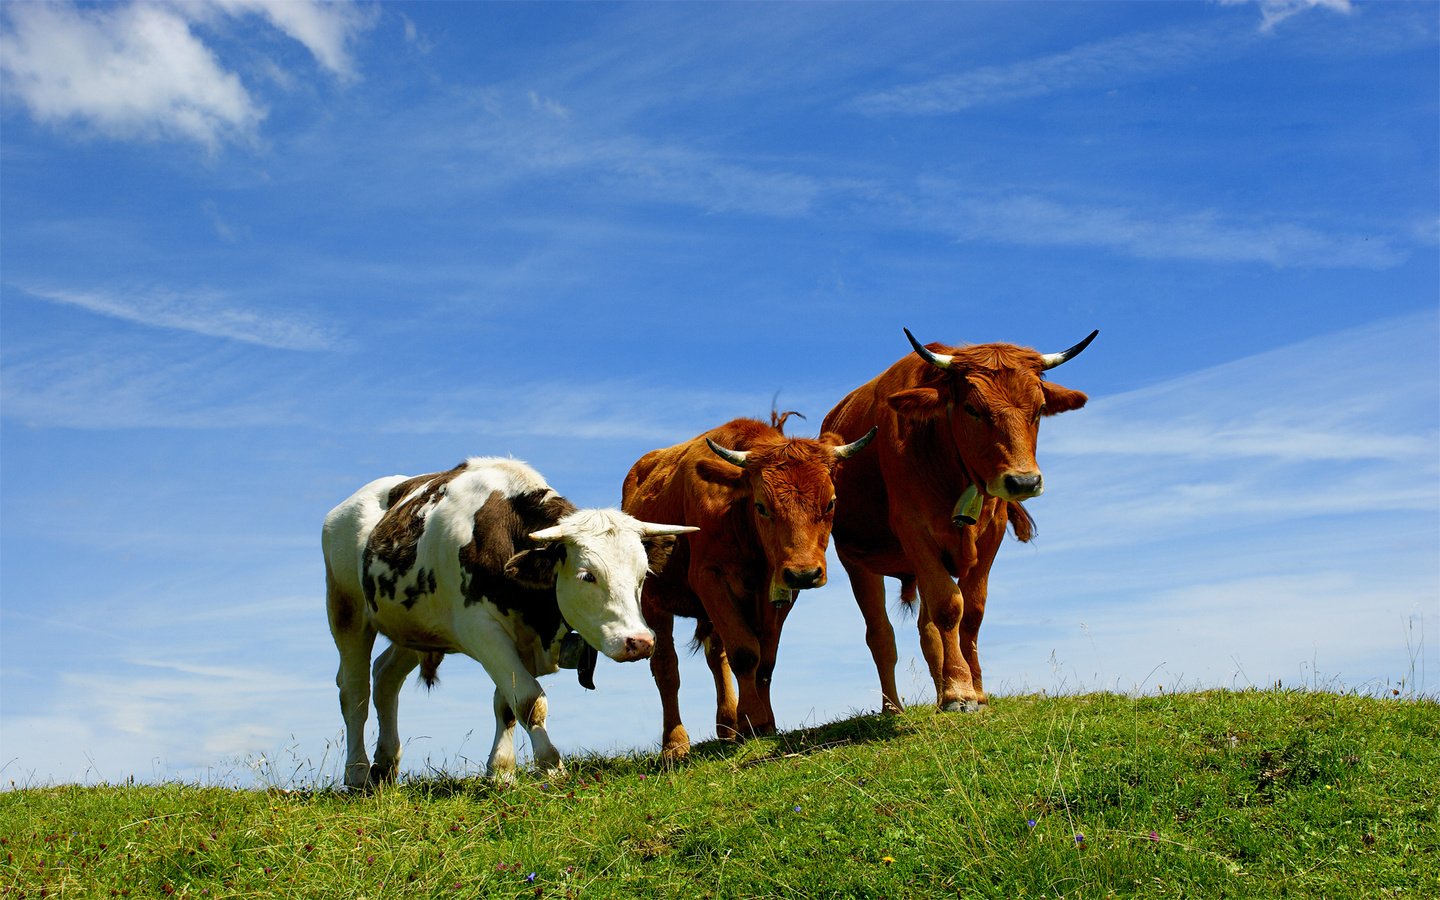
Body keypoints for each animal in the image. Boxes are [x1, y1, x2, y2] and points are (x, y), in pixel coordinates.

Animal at [324, 455, 694, 783]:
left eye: (642, 575)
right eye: (587, 575)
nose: (640, 642)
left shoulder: (522, 639)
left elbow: (506, 702)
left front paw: (501, 771)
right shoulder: (482, 631)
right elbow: (529, 699)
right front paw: (550, 765)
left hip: (415, 628)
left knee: (385, 678)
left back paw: (386, 764)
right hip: (346, 610)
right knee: (354, 690)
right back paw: (357, 772)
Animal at [622, 414, 869, 760]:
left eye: (831, 502)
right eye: (761, 506)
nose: (805, 573)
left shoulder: (779, 591)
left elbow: (765, 659)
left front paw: (763, 723)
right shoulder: (709, 576)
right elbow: (745, 653)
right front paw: (752, 719)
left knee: (716, 657)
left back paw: (727, 725)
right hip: (654, 601)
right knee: (667, 669)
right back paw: (675, 743)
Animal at [817, 329, 1094, 717]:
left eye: (1039, 409)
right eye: (972, 409)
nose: (1023, 481)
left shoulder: (991, 534)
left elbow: (971, 612)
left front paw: (974, 690)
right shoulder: (914, 530)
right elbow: (950, 606)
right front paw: (959, 691)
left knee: (927, 629)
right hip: (858, 562)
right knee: (880, 634)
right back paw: (893, 707)